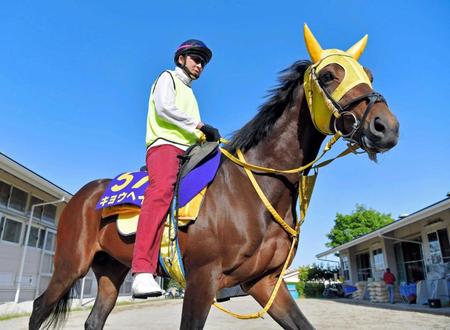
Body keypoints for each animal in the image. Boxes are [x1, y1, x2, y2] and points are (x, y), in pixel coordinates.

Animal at [29, 26, 400, 330]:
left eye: (368, 74)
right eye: (328, 75)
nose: (386, 126)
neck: (255, 187)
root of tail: (83, 195)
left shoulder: (265, 283)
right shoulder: (202, 281)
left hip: (110, 270)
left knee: (94, 319)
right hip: (69, 265)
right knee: (37, 307)